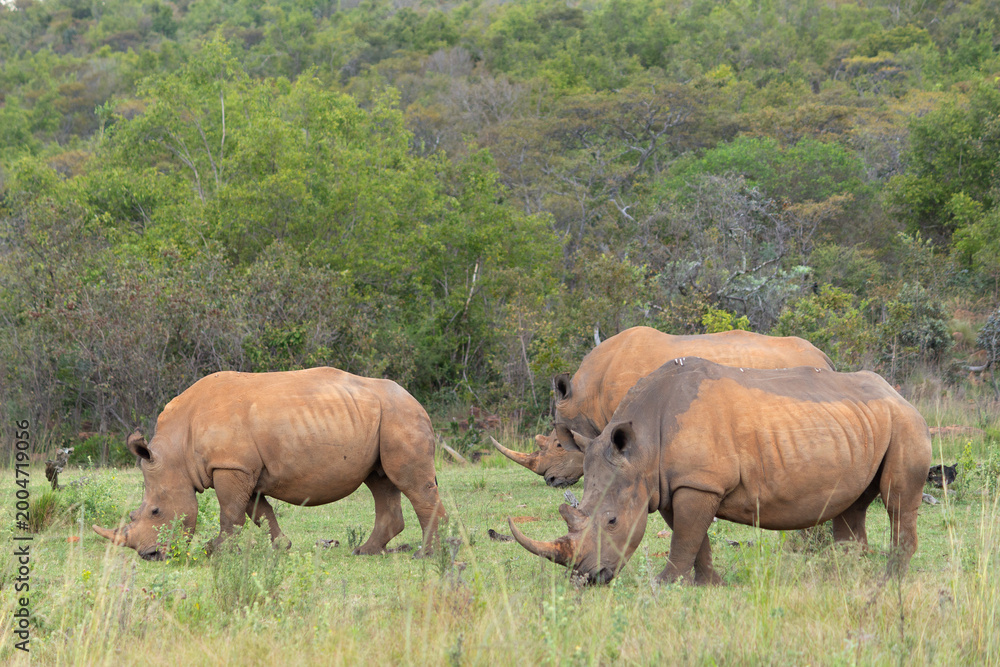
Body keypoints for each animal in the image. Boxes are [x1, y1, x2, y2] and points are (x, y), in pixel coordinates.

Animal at [93, 368, 446, 560]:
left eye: (155, 511)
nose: (150, 556)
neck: (177, 452)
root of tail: (416, 400)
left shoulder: (230, 466)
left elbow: (230, 512)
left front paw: (215, 551)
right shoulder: (244, 468)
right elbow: (259, 511)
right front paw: (281, 546)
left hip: (401, 415)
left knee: (409, 483)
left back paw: (426, 555)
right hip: (381, 419)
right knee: (380, 481)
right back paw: (364, 552)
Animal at [509, 358, 931, 584]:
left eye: (612, 521)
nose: (587, 579)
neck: (642, 448)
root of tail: (898, 394)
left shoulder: (698, 483)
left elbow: (685, 538)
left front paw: (663, 584)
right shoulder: (671, 483)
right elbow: (693, 538)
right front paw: (710, 584)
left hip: (906, 424)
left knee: (897, 503)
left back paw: (888, 580)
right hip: (862, 425)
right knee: (852, 505)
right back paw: (842, 575)